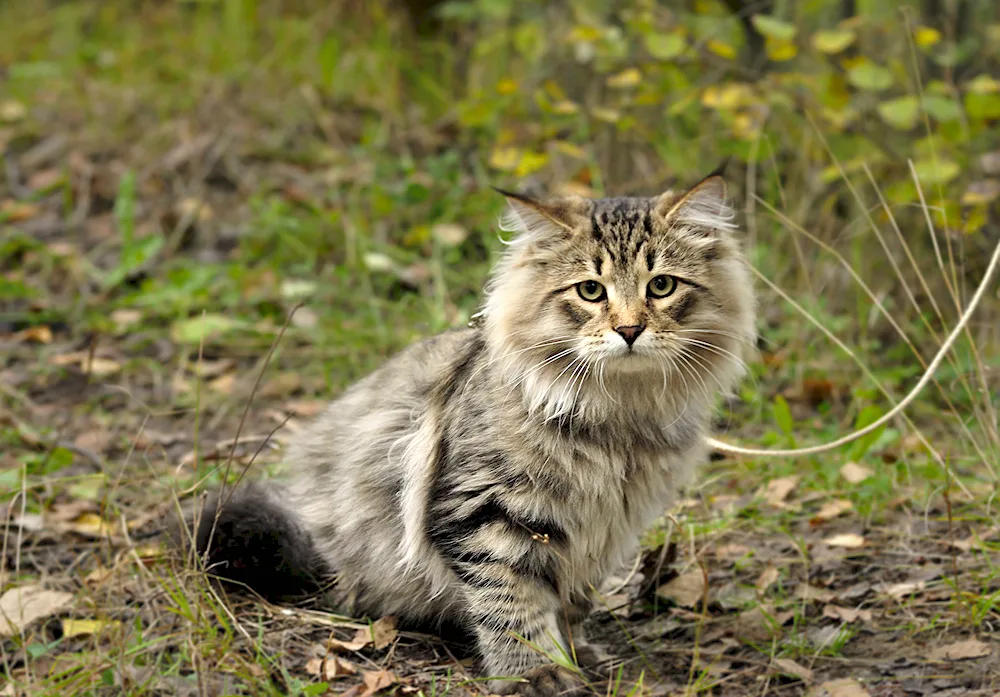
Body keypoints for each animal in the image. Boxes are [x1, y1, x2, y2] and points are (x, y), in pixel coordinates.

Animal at [182, 170, 756, 696]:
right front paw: (534, 671)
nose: (630, 330)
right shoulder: (487, 511)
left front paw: (574, 653)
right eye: (591, 292)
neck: (620, 417)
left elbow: (572, 598)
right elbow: (511, 604)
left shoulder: (607, 523)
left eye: (661, 286)